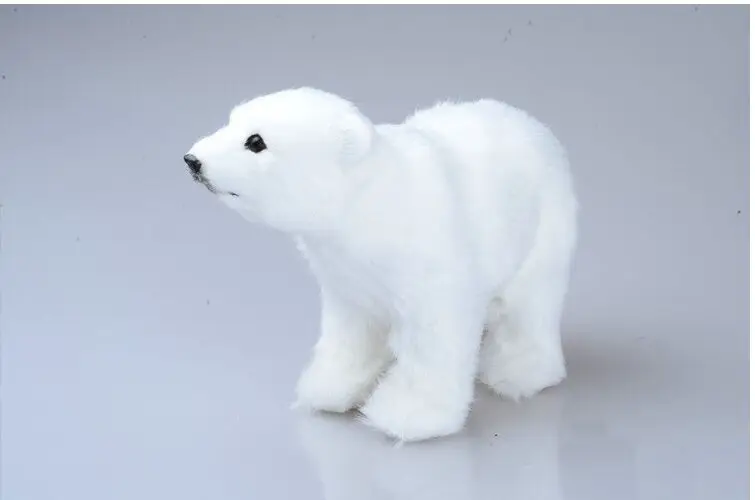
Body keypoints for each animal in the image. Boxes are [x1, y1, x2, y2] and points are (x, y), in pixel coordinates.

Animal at [184, 87, 578, 442]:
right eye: (231, 120)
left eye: (256, 141)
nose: (192, 160)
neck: (370, 202)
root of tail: (536, 126)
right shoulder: (345, 275)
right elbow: (352, 330)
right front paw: (331, 388)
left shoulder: (433, 262)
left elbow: (434, 339)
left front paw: (409, 415)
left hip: (545, 226)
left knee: (530, 305)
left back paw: (519, 372)